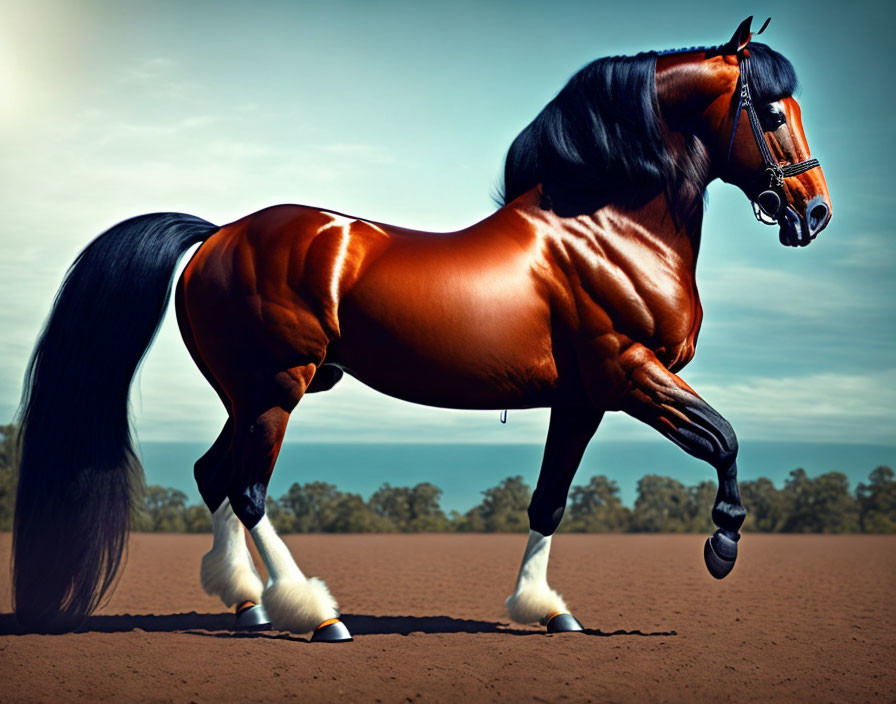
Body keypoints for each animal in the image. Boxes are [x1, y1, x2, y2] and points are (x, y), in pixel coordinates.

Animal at [10, 17, 828, 640]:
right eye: (774, 113)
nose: (814, 214)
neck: (607, 227)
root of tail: (218, 235)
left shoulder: (582, 398)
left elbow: (550, 498)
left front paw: (545, 609)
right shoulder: (630, 371)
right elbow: (723, 439)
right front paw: (722, 543)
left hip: (250, 394)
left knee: (215, 475)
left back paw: (248, 606)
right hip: (276, 388)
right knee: (247, 489)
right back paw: (316, 615)